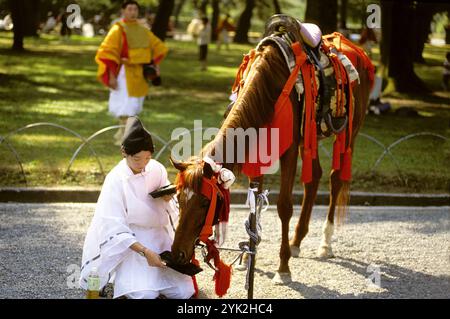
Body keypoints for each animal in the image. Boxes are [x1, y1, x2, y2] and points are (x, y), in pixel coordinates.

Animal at [169, 15, 372, 284]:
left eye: (204, 203)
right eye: (179, 198)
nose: (176, 254)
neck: (268, 85)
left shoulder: (289, 149)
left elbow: (284, 206)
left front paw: (283, 267)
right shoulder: (256, 145)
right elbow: (254, 206)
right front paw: (248, 258)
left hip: (350, 130)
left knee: (335, 178)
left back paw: (325, 244)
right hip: (311, 137)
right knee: (314, 178)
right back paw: (297, 241)